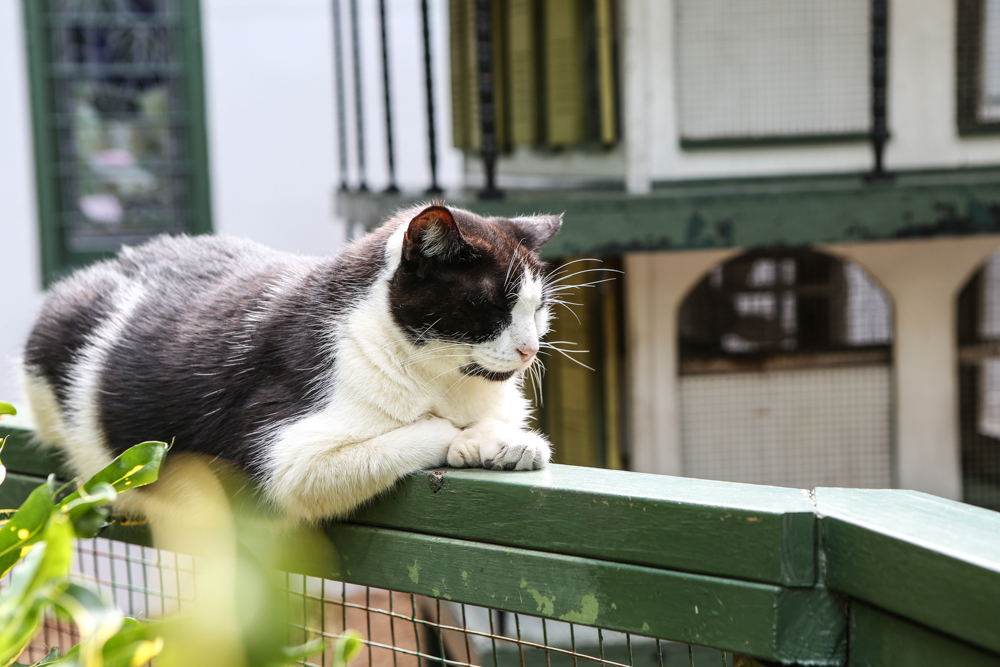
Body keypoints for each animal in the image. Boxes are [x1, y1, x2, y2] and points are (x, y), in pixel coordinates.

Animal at [21, 204, 564, 520]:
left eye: (537, 308)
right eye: (487, 306)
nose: (529, 349)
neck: (444, 380)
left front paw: (506, 442)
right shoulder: (287, 452)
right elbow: (420, 430)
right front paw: (466, 437)